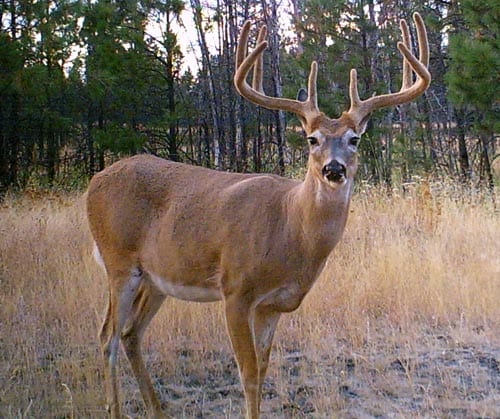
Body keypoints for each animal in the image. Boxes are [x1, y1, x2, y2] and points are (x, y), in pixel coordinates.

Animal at [86, 13, 430, 419]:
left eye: (354, 139)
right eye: (312, 139)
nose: (333, 169)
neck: (290, 231)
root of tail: (94, 181)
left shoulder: (274, 304)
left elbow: (264, 369)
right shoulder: (235, 288)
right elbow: (248, 373)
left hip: (156, 278)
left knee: (130, 333)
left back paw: (158, 409)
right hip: (118, 261)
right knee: (107, 335)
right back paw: (117, 408)